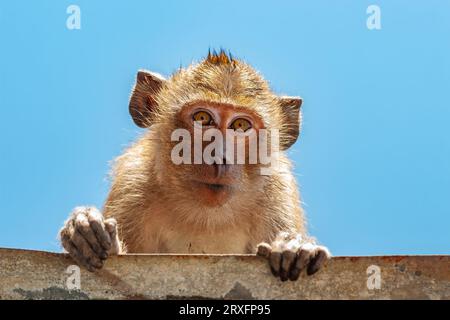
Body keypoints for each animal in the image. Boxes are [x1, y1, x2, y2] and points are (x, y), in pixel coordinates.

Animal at [58, 48, 328, 282]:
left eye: (240, 125)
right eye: (202, 118)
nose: (219, 157)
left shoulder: (278, 191)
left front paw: (295, 247)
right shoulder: (133, 182)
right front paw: (85, 232)